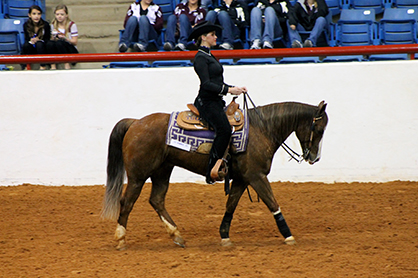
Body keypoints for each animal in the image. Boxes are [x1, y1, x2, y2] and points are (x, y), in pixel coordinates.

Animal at [103, 100, 328, 250]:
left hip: (162, 171)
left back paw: (177, 236)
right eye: (319, 128)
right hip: (138, 176)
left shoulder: (241, 179)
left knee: (156, 200)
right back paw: (121, 239)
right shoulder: (256, 176)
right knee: (127, 202)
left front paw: (225, 236)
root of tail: (135, 122)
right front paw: (288, 236)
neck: (261, 129)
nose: (315, 158)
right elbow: (273, 203)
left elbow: (231, 206)